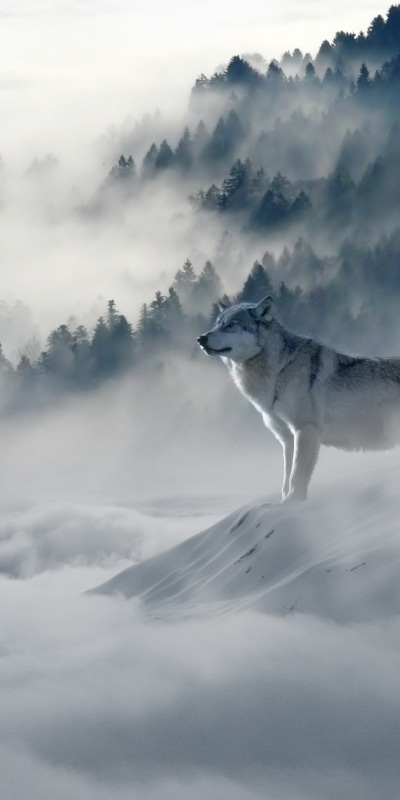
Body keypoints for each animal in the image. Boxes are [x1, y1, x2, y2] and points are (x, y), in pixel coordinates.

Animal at [197, 296, 400, 502]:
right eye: (216, 324)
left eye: (231, 325)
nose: (201, 338)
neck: (279, 371)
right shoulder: (287, 439)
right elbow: (286, 479)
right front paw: (283, 503)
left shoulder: (305, 430)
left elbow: (297, 476)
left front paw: (293, 502)